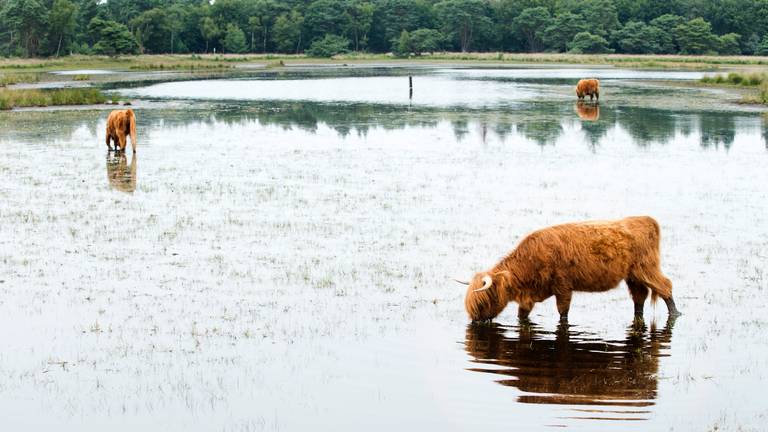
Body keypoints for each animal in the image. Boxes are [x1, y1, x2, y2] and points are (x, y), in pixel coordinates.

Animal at [460, 218, 680, 322]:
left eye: (483, 300)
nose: (475, 321)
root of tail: (645, 219)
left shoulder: (563, 287)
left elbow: (563, 313)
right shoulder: (529, 297)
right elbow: (522, 315)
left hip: (646, 268)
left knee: (665, 286)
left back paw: (675, 313)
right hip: (633, 276)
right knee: (639, 297)